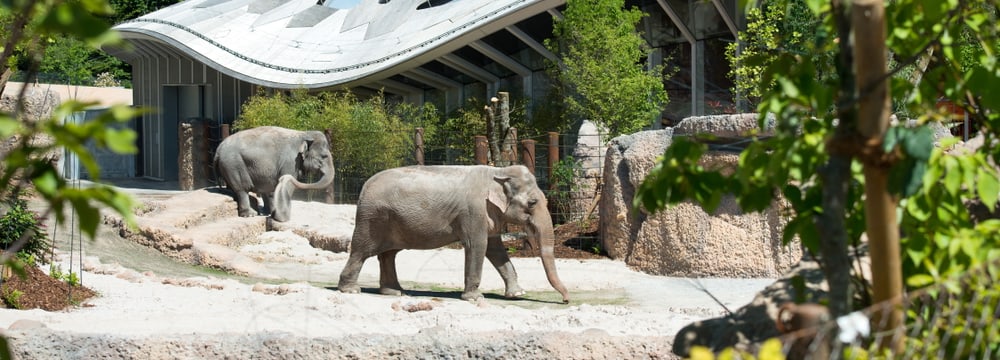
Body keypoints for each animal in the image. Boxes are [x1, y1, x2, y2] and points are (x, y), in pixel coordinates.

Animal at [338, 165, 568, 302]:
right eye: (532, 203)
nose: (565, 300)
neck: (499, 170)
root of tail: (364, 186)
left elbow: (496, 250)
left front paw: (518, 294)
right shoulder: (474, 212)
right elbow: (478, 246)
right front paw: (475, 298)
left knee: (388, 254)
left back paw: (395, 292)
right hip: (372, 219)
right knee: (361, 251)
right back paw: (351, 290)